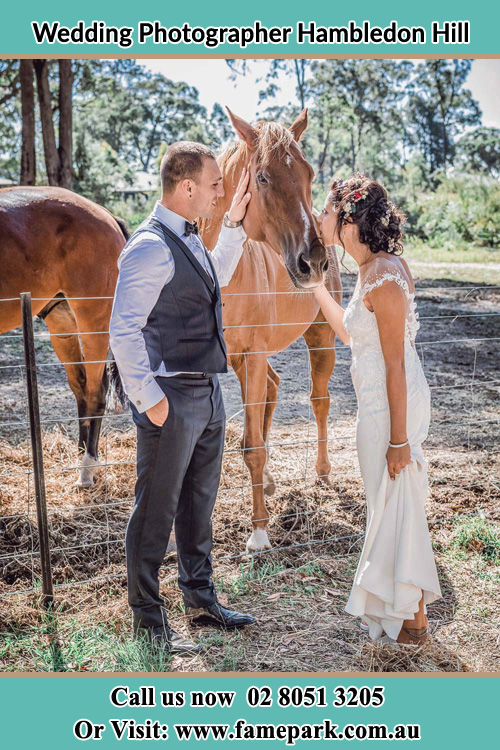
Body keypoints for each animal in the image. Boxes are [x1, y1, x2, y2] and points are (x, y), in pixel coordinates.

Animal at [0, 189, 128, 488]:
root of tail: (108, 216)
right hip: (62, 323)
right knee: (81, 387)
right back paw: (80, 456)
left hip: (93, 323)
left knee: (95, 391)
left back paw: (87, 468)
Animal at [201, 108, 342, 552]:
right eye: (261, 177)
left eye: (309, 173)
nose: (312, 261)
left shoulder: (254, 354)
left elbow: (252, 447)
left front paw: (259, 532)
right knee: (274, 390)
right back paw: (271, 481)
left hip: (321, 341)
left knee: (319, 401)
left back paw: (322, 471)